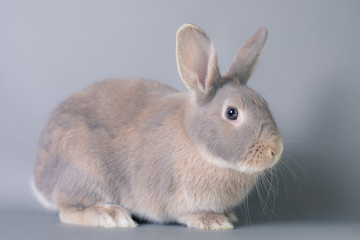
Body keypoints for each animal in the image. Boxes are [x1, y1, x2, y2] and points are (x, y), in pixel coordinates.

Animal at [31, 23, 284, 231]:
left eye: (264, 102)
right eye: (232, 113)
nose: (276, 150)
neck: (196, 142)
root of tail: (40, 179)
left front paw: (228, 215)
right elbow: (185, 214)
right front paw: (214, 222)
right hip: (87, 172)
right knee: (68, 211)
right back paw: (110, 215)